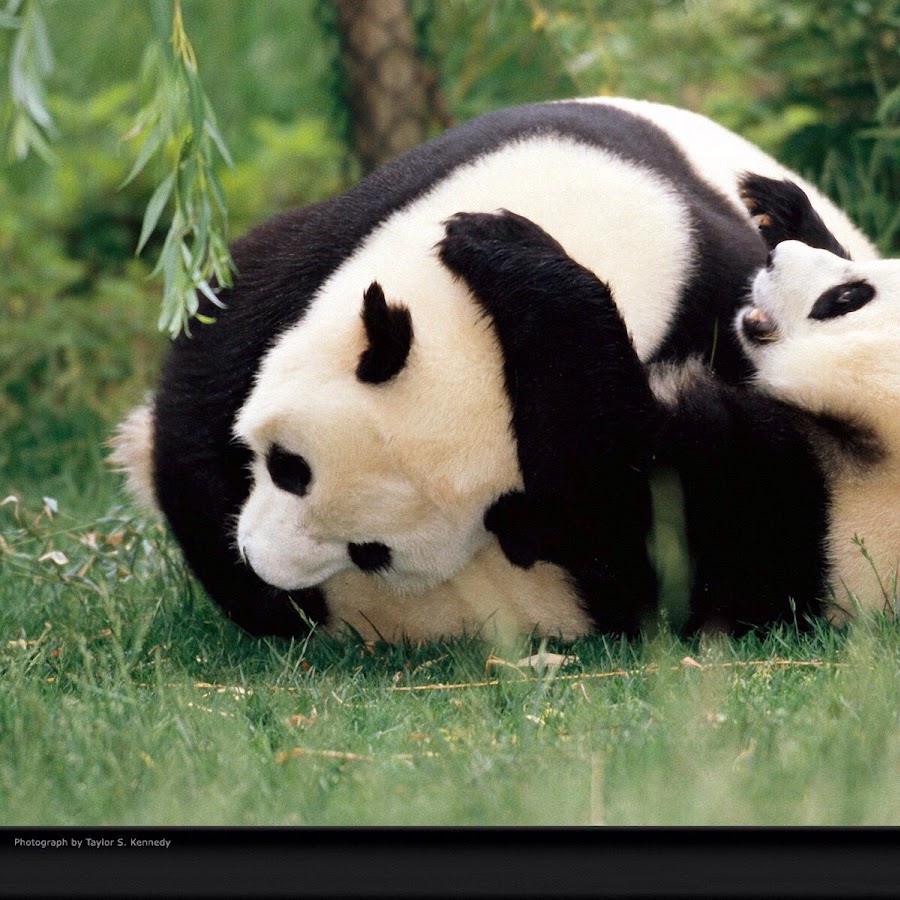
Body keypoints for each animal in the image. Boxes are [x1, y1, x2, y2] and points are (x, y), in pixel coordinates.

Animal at [435, 176, 897, 633]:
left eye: (847, 298)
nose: (775, 258)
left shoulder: (781, 505)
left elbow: (602, 476)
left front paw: (499, 238)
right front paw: (780, 209)